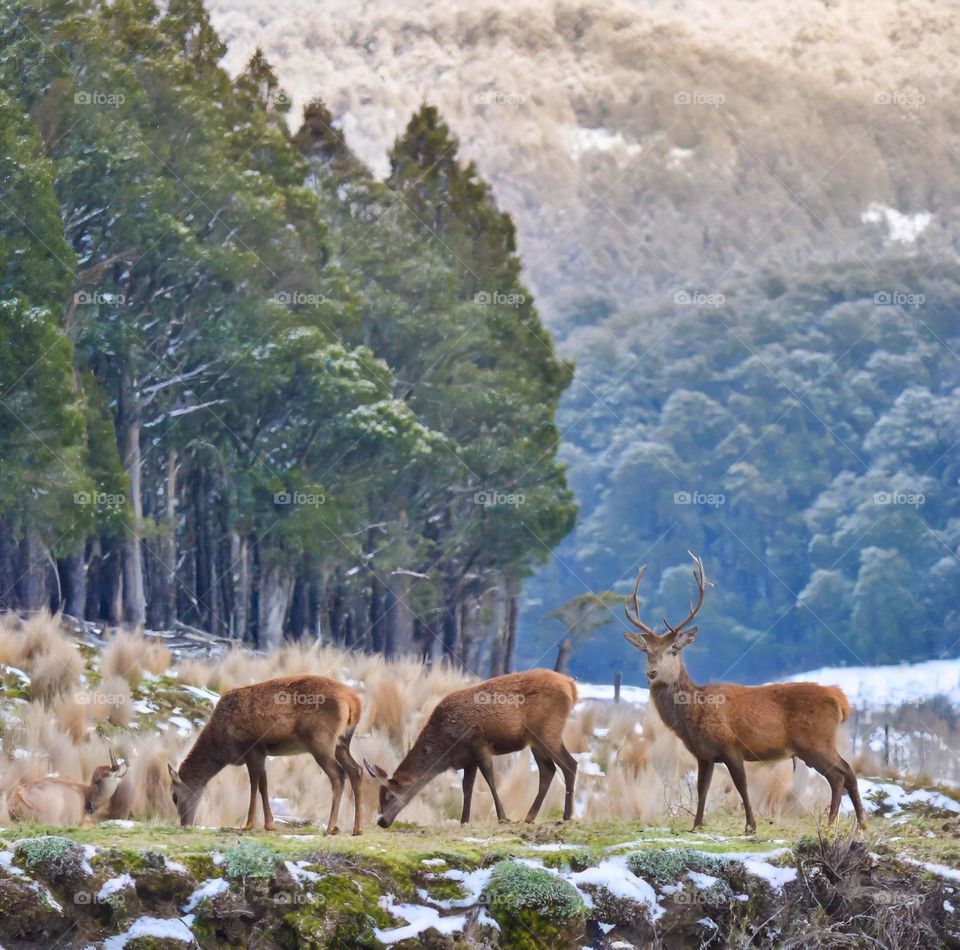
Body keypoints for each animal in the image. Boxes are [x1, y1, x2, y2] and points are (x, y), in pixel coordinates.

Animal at [167, 672, 362, 836]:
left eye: (174, 796)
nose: (185, 824)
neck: (222, 747)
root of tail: (354, 702)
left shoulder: (252, 748)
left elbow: (254, 785)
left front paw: (249, 824)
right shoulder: (262, 753)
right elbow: (264, 785)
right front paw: (269, 824)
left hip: (320, 740)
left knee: (338, 774)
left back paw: (330, 827)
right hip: (342, 742)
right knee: (356, 770)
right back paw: (357, 829)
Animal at [366, 672, 576, 828]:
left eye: (389, 795)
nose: (382, 821)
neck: (445, 749)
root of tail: (570, 685)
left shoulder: (478, 743)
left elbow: (489, 779)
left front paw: (503, 817)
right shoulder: (468, 759)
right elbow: (467, 788)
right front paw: (464, 821)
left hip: (547, 731)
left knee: (570, 764)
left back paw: (566, 816)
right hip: (536, 741)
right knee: (548, 770)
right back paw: (530, 817)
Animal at [620, 556, 868, 836]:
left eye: (673, 649)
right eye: (647, 651)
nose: (651, 672)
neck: (693, 713)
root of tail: (840, 700)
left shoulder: (731, 747)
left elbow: (741, 785)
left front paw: (751, 825)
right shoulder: (704, 754)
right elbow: (702, 788)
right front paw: (696, 825)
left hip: (815, 741)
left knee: (839, 774)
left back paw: (832, 823)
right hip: (817, 744)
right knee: (847, 771)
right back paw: (859, 823)